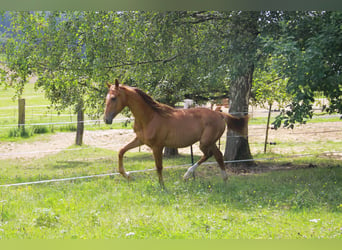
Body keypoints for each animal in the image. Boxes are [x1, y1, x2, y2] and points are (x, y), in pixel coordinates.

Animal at [103, 79, 247, 187]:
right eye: (106, 98)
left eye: (114, 98)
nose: (106, 119)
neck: (150, 117)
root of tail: (220, 114)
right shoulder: (140, 140)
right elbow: (121, 151)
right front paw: (127, 175)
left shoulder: (157, 146)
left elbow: (159, 166)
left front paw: (162, 187)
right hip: (210, 142)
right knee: (218, 155)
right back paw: (225, 180)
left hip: (205, 142)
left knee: (209, 155)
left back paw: (186, 176)